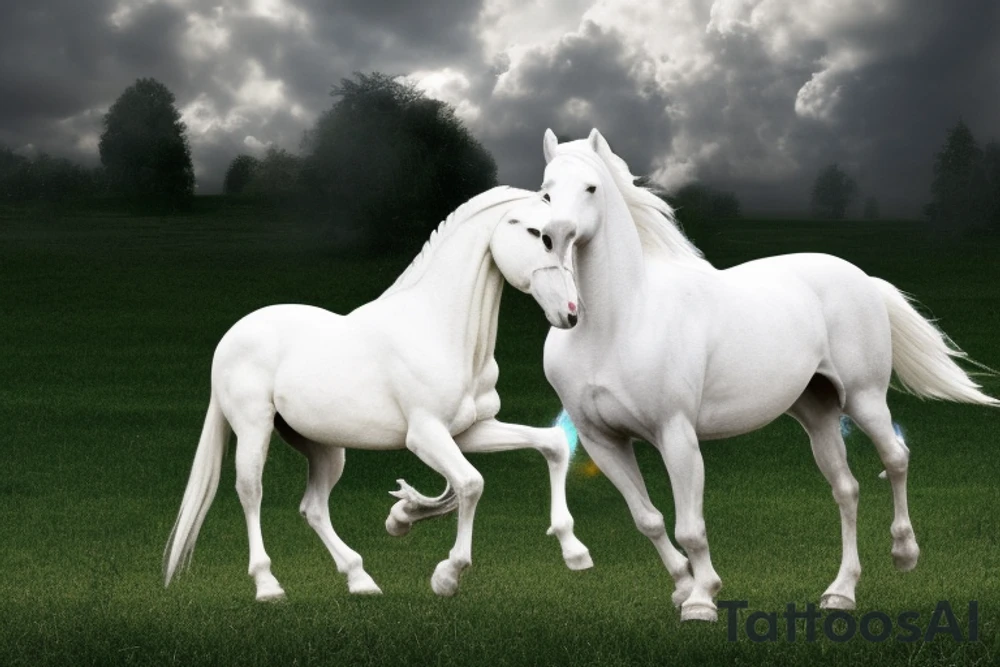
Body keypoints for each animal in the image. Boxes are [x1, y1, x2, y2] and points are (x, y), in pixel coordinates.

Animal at [163, 186, 592, 602]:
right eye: (539, 234)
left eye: (570, 238)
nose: (571, 314)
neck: (438, 329)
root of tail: (231, 337)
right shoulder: (424, 434)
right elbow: (471, 484)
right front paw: (446, 575)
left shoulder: (470, 430)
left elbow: (551, 445)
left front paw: (575, 552)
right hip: (255, 428)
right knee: (251, 492)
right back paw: (268, 586)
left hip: (324, 447)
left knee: (313, 507)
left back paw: (361, 580)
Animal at [537, 129, 998, 622]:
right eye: (545, 192)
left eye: (591, 188)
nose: (553, 237)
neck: (618, 322)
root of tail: (864, 280)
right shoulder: (603, 441)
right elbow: (649, 520)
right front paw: (683, 587)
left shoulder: (675, 434)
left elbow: (689, 526)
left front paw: (702, 600)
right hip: (817, 414)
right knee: (847, 489)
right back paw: (841, 592)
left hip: (865, 398)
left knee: (896, 459)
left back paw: (904, 554)